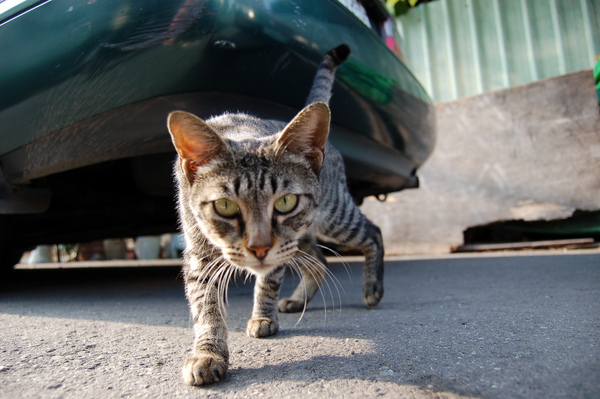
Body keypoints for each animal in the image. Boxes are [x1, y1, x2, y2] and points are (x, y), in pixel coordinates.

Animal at [166, 44, 386, 388]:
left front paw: (262, 317)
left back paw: (372, 288)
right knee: (320, 261)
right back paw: (298, 300)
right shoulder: (199, 254)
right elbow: (206, 307)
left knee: (373, 232)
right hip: (301, 238)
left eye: (285, 202)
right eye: (225, 206)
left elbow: (267, 283)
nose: (259, 247)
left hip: (332, 218)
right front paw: (208, 353)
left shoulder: (279, 249)